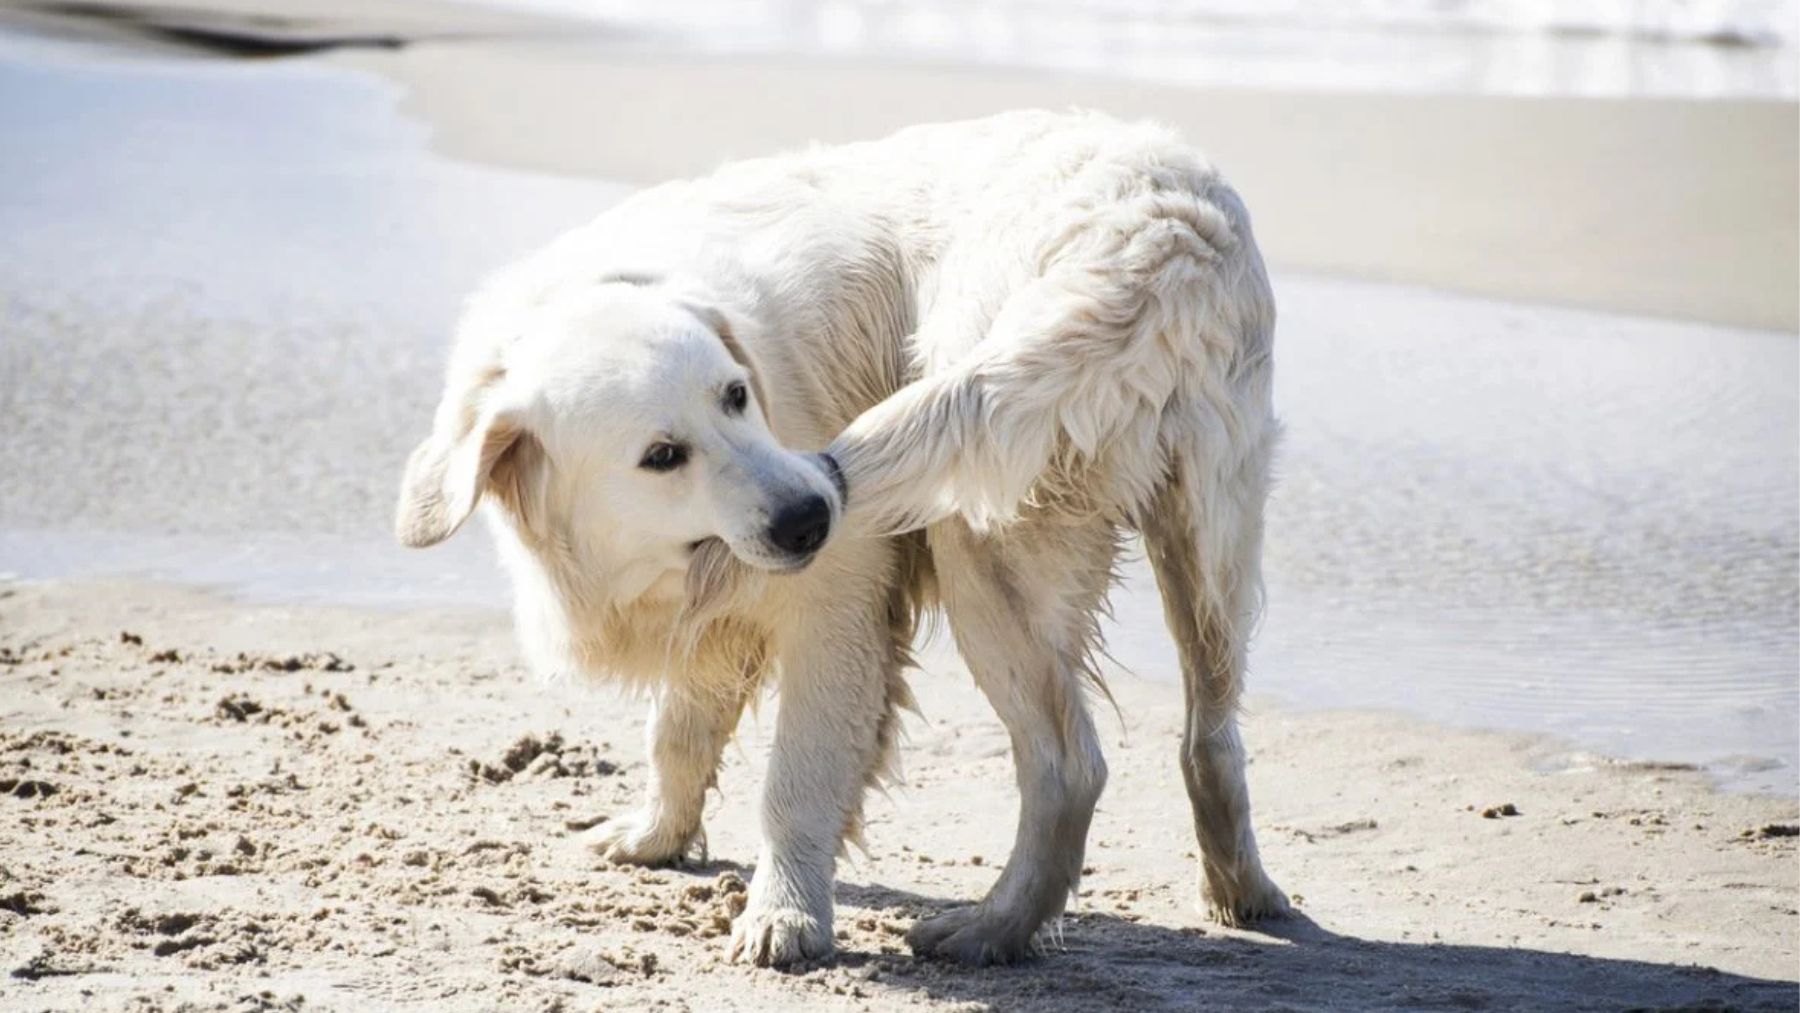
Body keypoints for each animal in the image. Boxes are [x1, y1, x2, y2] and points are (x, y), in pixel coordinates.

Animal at [401, 108, 1288, 964]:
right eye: (661, 455)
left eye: (736, 395)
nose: (812, 515)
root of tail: (1159, 234)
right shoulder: (713, 613)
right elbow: (677, 731)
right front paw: (655, 836)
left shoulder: (837, 604)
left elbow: (795, 779)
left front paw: (784, 914)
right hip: (1209, 541)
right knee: (1211, 735)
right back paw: (1242, 891)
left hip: (982, 539)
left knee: (1070, 766)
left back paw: (990, 929)